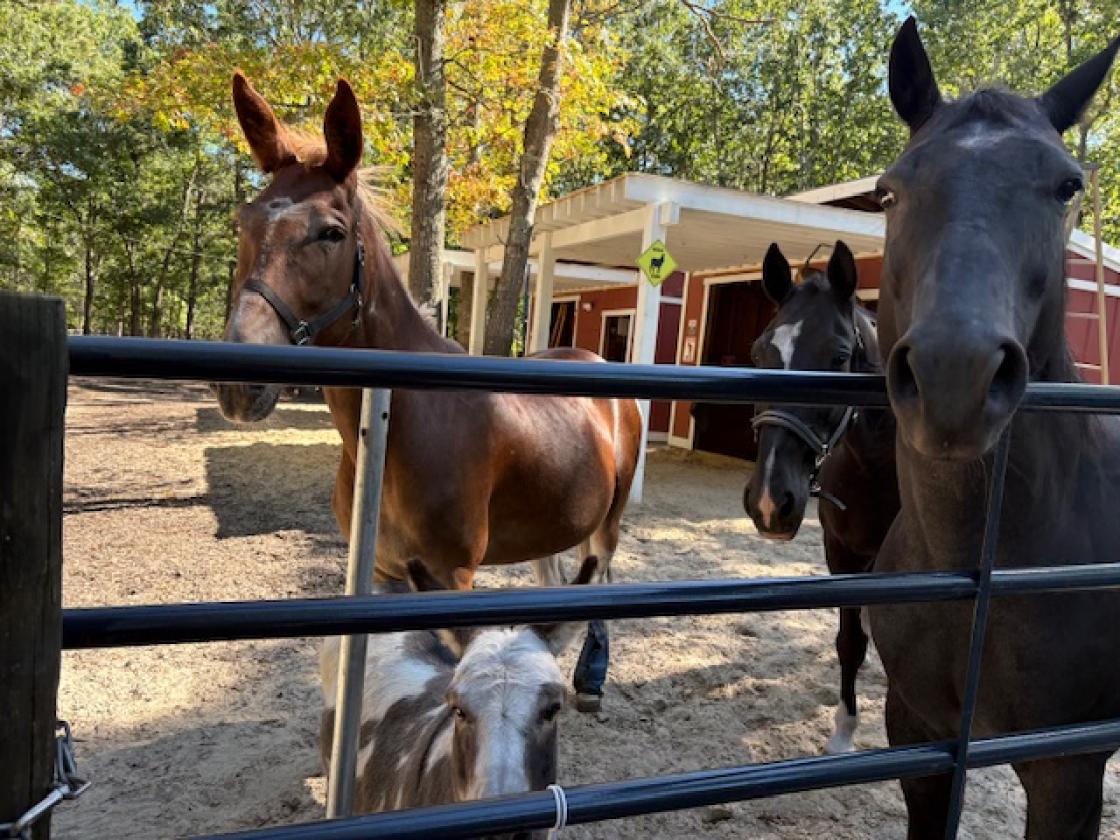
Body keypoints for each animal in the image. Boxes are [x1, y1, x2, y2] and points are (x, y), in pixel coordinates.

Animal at [213, 74, 642, 710]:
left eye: (330, 232)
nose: (240, 382)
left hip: (607, 520)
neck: (400, 424)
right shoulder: (384, 572)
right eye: (244, 223)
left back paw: (591, 674)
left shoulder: (452, 576)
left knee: (604, 572)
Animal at [743, 241, 898, 754]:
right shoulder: (844, 552)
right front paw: (843, 733)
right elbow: (850, 642)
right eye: (759, 355)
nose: (770, 500)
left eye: (839, 357)